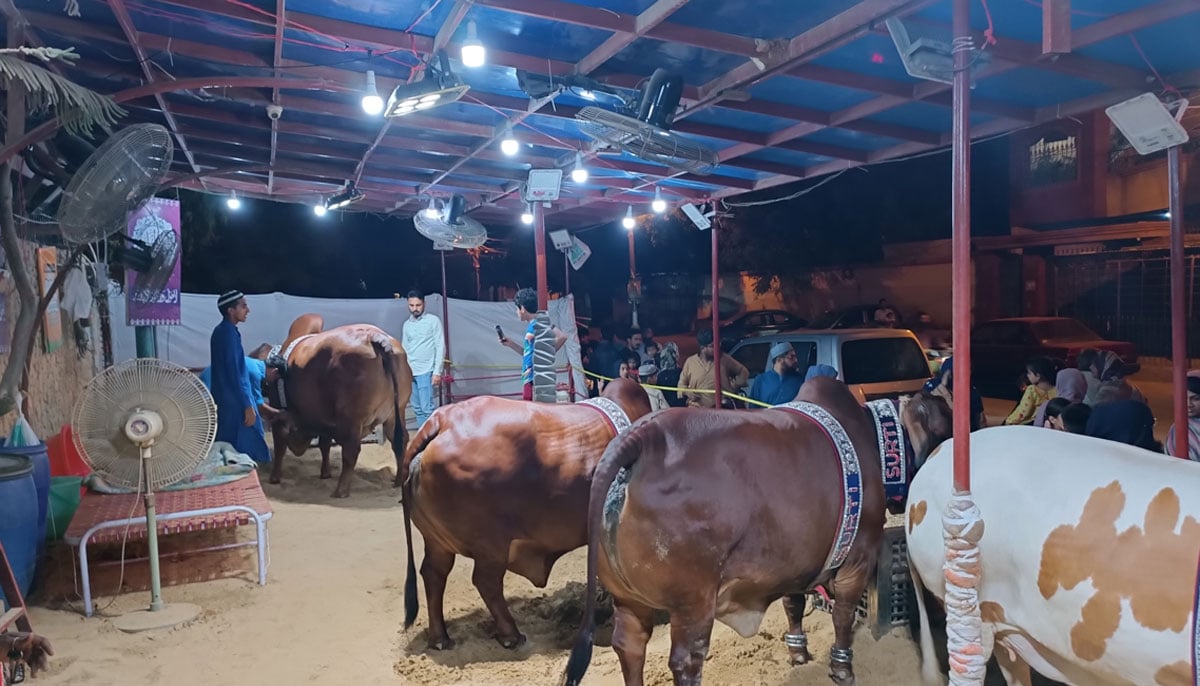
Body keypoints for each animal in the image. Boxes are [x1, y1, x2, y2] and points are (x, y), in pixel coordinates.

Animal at [262, 316, 412, 498]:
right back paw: (398, 481)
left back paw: (340, 490)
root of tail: (376, 337)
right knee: (400, 441)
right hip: (396, 413)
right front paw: (325, 473)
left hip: (352, 418)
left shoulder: (279, 414)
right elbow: (324, 444)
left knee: (351, 450)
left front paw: (274, 477)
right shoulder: (325, 422)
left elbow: (280, 445)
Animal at [398, 378, 652, 652]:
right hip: (490, 544)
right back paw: (511, 635)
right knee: (485, 581)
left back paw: (440, 638)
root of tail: (440, 422)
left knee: (434, 574)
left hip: (438, 541)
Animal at [566, 374, 950, 686]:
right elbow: (842, 616)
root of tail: (640, 437)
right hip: (693, 602)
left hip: (629, 600)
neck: (871, 440)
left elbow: (794, 603)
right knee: (686, 660)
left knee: (629, 646)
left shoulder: (797, 558)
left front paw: (798, 652)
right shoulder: (859, 556)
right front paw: (842, 670)